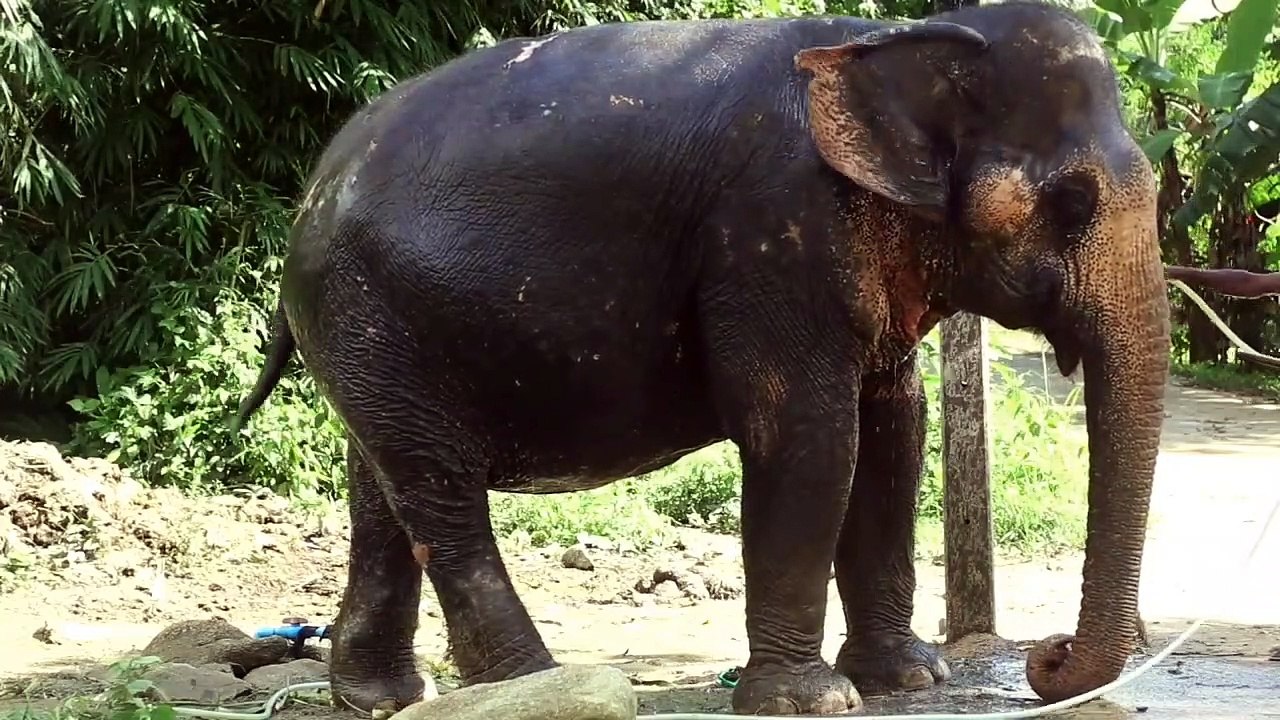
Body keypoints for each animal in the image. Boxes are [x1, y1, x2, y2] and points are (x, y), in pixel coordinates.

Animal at [235, 1, 1171, 715]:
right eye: (1072, 201)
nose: (1047, 659)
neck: (893, 37)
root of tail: (310, 193)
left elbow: (895, 432)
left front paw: (909, 679)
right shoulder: (769, 232)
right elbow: (808, 435)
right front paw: (811, 702)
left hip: (370, 334)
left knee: (383, 487)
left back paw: (384, 697)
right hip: (368, 310)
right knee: (441, 495)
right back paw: (538, 687)